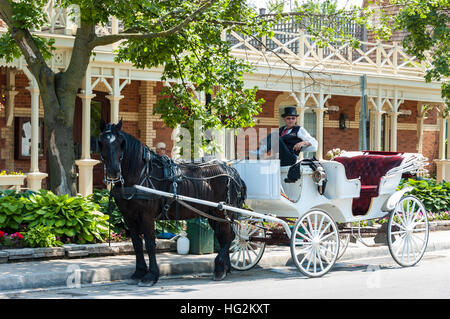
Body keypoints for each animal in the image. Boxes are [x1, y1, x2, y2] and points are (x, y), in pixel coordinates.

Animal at [97, 120, 246, 288]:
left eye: (121, 143)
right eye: (100, 142)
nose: (113, 172)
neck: (140, 174)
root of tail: (231, 170)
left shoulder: (147, 216)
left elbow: (150, 244)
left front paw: (150, 276)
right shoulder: (128, 216)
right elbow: (137, 244)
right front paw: (138, 272)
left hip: (222, 212)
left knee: (229, 236)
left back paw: (220, 268)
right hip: (212, 213)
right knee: (223, 237)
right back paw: (224, 268)